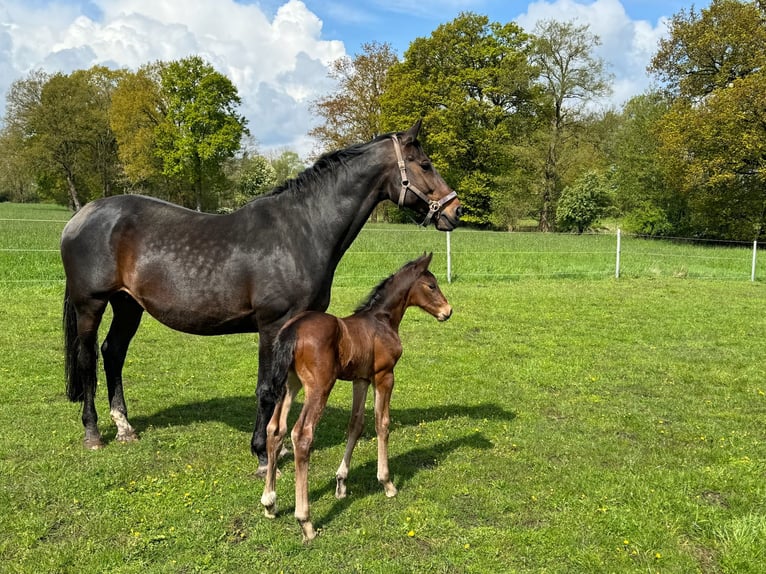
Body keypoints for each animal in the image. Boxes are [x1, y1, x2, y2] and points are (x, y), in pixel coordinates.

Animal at [260, 254, 452, 544]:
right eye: (431, 285)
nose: (448, 311)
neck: (382, 320)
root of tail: (292, 329)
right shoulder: (384, 375)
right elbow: (382, 423)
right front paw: (387, 482)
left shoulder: (361, 380)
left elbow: (356, 424)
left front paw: (341, 483)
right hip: (319, 387)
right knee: (301, 435)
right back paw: (305, 521)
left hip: (289, 384)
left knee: (275, 429)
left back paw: (270, 502)